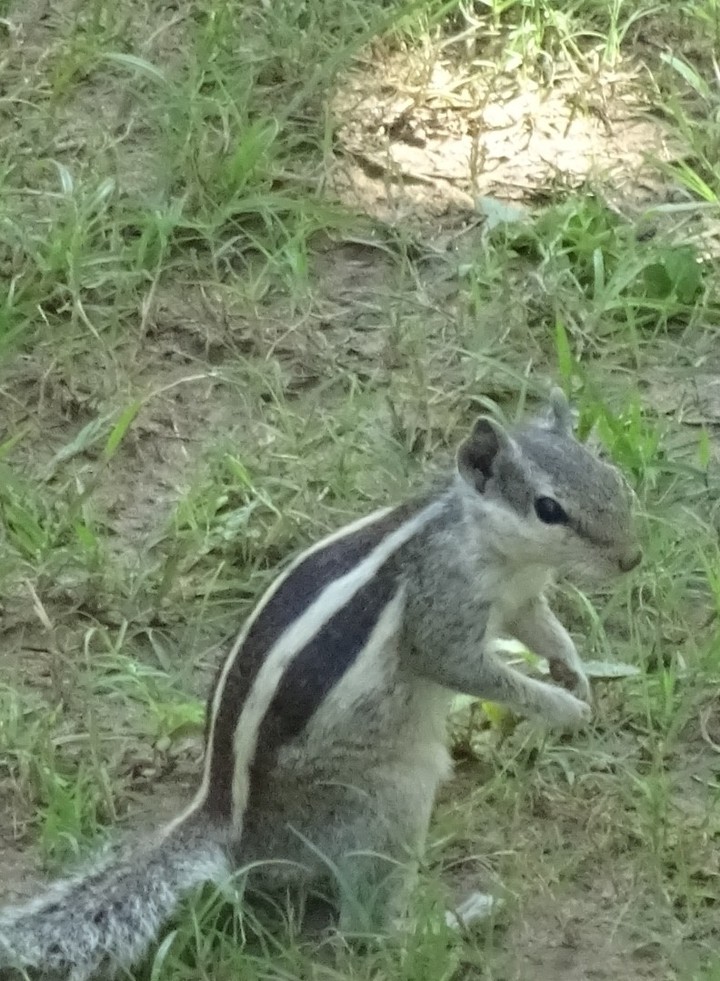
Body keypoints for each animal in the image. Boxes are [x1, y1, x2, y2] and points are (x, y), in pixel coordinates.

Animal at [0, 388, 642, 979]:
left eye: (610, 473)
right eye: (548, 508)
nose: (632, 559)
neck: (488, 544)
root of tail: (233, 832)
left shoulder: (520, 601)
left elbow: (541, 629)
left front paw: (573, 672)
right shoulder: (440, 614)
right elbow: (462, 668)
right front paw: (558, 706)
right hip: (387, 798)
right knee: (364, 930)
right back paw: (457, 921)